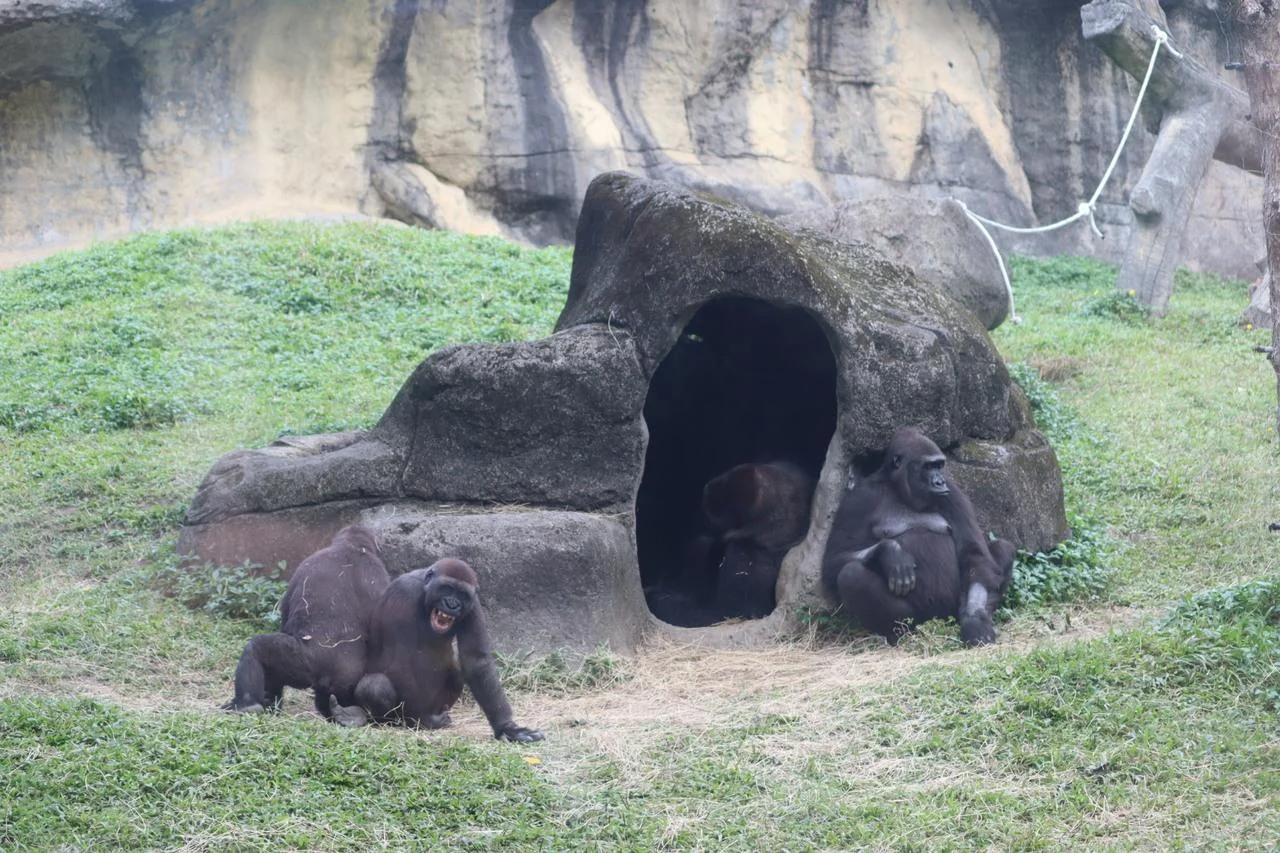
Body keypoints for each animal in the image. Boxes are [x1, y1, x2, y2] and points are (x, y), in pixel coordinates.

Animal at [821, 427, 1016, 646]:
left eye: (939, 465)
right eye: (928, 466)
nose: (940, 481)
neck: (896, 487)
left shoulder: (953, 493)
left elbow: (975, 555)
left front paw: (975, 622)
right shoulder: (858, 500)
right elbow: (833, 560)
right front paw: (891, 552)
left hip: (952, 611)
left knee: (1003, 548)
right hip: (918, 619)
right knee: (851, 575)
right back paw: (896, 632)